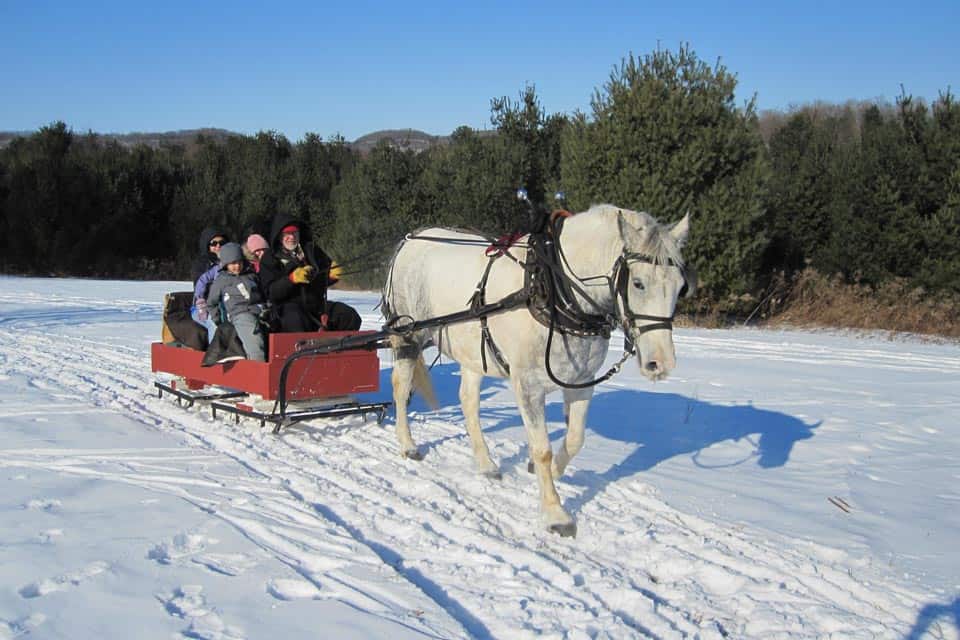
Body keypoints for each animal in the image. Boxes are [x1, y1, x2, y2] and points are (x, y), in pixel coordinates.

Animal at [382, 204, 688, 536]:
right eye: (638, 283)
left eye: (680, 287)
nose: (661, 363)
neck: (555, 291)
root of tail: (409, 240)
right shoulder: (527, 384)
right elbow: (542, 448)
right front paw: (556, 514)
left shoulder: (582, 381)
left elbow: (575, 438)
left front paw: (550, 471)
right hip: (408, 335)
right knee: (401, 386)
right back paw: (408, 445)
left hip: (473, 352)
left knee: (469, 402)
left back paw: (486, 463)